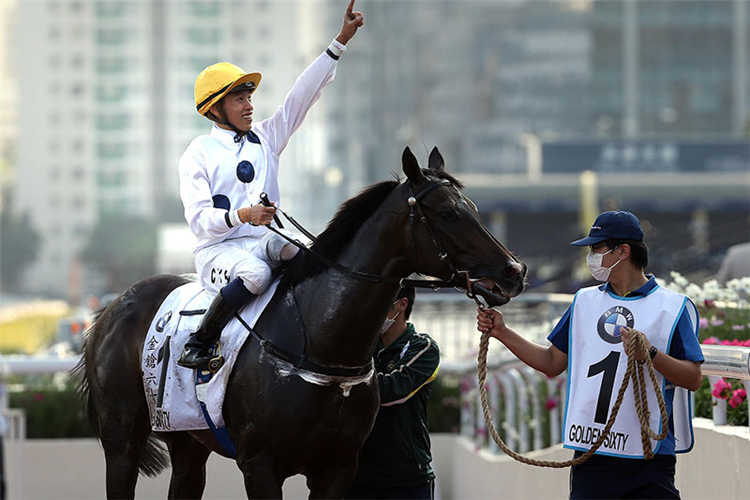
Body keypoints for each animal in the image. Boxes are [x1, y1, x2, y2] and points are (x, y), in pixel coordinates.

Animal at [75, 146, 524, 498]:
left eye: (474, 209)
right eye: (447, 213)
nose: (514, 271)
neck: (320, 344)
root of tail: (108, 312)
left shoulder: (337, 468)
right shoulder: (259, 465)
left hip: (187, 438)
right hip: (122, 439)